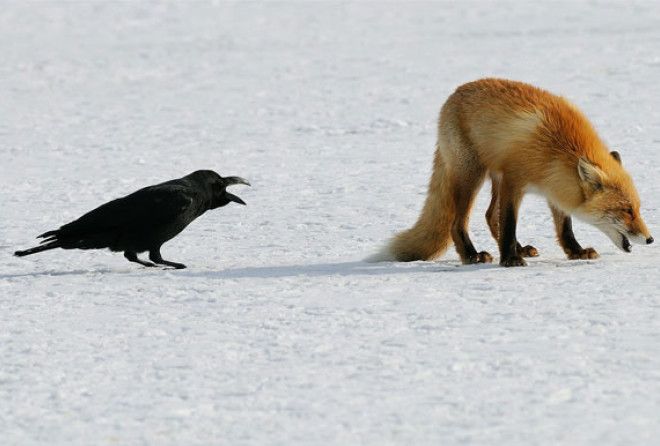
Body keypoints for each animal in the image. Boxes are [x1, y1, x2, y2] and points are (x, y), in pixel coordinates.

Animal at [374, 78, 652, 266]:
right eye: (626, 210)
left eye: (637, 209)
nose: (650, 239)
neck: (557, 147)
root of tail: (453, 94)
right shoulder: (514, 181)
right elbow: (509, 222)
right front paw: (509, 259)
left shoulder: (555, 185)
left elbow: (564, 226)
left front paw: (576, 251)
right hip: (472, 175)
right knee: (458, 223)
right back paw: (472, 255)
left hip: (492, 178)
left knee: (489, 216)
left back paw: (519, 248)